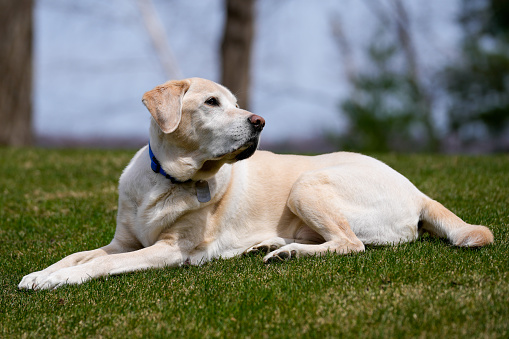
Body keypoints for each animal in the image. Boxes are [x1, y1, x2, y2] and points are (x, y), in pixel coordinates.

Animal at [18, 78, 492, 290]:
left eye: (237, 102)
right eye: (213, 102)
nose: (260, 120)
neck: (167, 180)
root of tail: (416, 189)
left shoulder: (169, 250)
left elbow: (99, 265)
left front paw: (57, 280)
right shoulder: (122, 242)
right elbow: (77, 255)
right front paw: (41, 273)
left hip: (308, 183)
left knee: (350, 244)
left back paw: (284, 254)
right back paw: (266, 245)